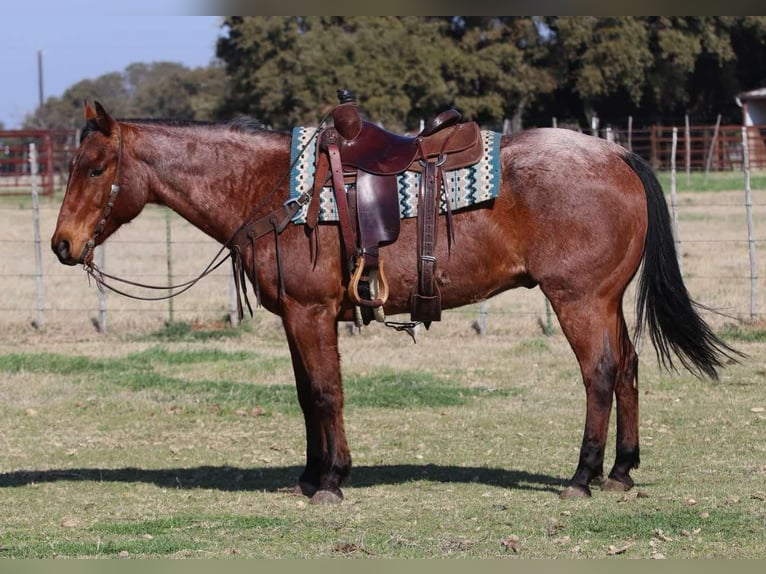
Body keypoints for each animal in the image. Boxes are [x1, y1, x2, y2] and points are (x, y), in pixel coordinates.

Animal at [51, 101, 739, 504]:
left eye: (94, 168)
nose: (62, 245)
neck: (274, 188)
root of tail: (616, 153)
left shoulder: (310, 314)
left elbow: (326, 392)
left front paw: (332, 480)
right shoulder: (301, 317)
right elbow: (306, 396)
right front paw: (310, 475)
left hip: (580, 300)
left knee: (599, 374)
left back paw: (581, 478)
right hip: (607, 300)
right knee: (628, 369)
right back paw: (621, 470)